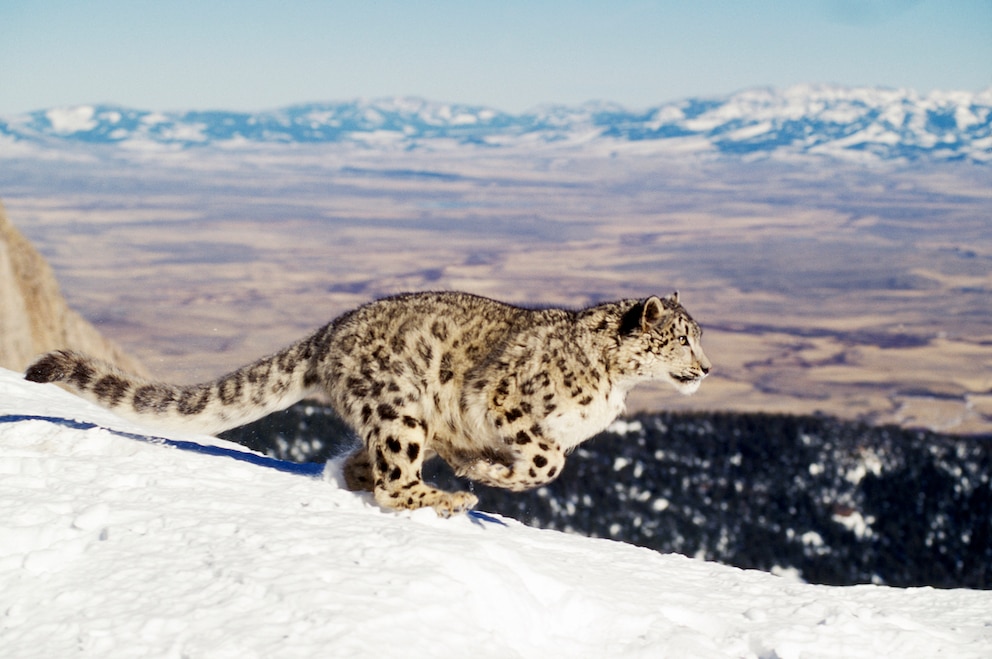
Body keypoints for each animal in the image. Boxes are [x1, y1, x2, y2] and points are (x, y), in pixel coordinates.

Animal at [27, 292, 708, 516]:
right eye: (682, 337)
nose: (705, 368)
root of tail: (330, 332)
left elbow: (548, 461)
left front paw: (479, 463)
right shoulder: (506, 398)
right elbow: (546, 461)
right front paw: (490, 473)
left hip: (397, 417)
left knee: (367, 466)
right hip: (401, 408)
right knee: (393, 483)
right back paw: (450, 498)